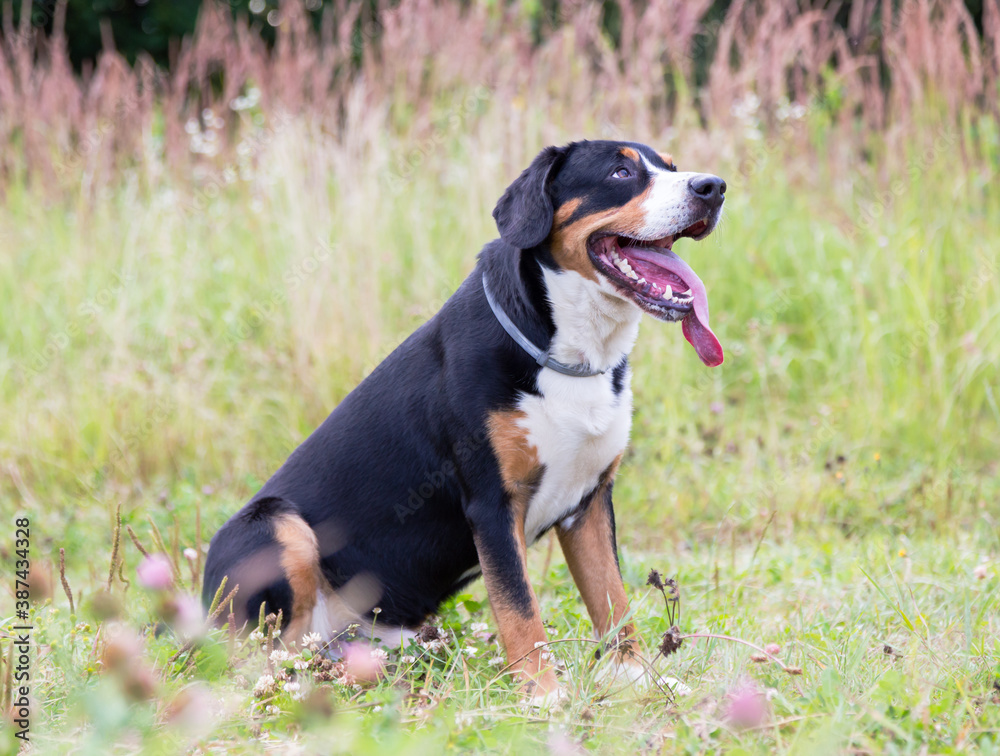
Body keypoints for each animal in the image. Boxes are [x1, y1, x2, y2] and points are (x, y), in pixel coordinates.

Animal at [203, 140, 724, 704]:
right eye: (620, 171)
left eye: (671, 167)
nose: (713, 187)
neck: (570, 356)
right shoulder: (493, 504)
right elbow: (520, 609)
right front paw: (543, 696)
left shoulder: (588, 503)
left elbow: (613, 600)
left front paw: (638, 678)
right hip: (276, 527)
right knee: (260, 659)